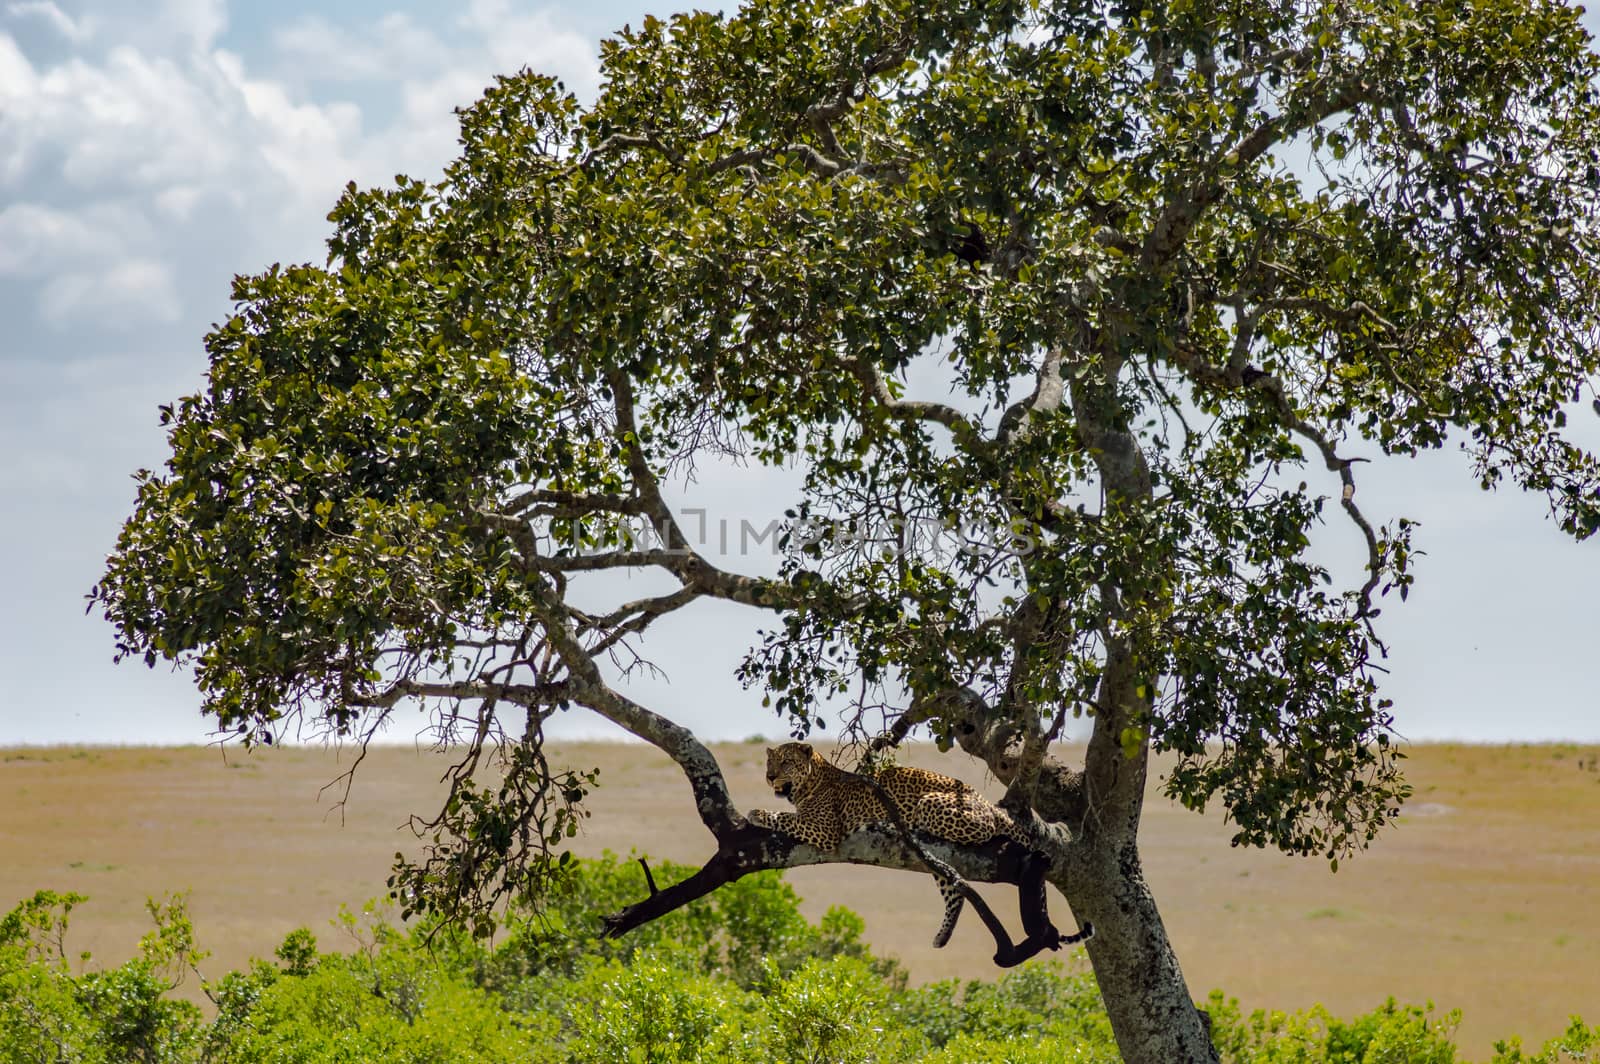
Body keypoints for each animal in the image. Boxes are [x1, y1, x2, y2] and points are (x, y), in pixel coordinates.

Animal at [745, 739, 1088, 953]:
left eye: (786, 762)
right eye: (770, 763)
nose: (769, 776)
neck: (809, 782)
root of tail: (988, 803)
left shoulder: (825, 829)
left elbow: (786, 818)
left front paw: (758, 813)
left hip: (930, 804)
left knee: (982, 834)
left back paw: (894, 825)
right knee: (953, 892)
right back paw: (942, 935)